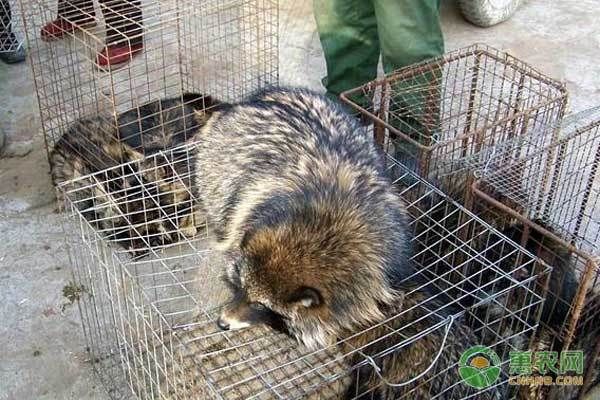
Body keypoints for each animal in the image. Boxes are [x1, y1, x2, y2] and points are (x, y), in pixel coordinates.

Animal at [196, 89, 496, 400]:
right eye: (240, 287)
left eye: (260, 304)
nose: (222, 322)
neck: (324, 230)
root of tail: (258, 98)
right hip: (214, 172)